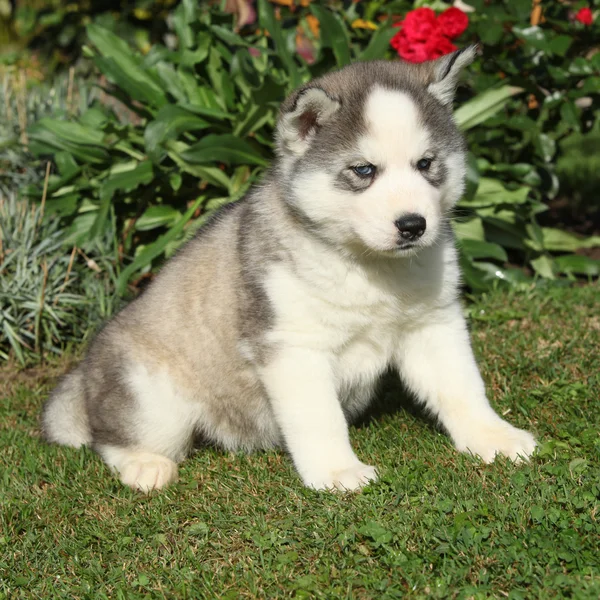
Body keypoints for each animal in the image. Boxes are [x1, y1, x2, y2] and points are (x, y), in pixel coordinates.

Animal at [44, 48, 536, 492]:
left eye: (426, 163)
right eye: (363, 170)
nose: (414, 225)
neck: (368, 266)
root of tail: (82, 375)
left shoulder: (432, 324)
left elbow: (463, 388)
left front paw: (494, 438)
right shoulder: (292, 346)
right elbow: (320, 418)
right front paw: (337, 471)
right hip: (152, 396)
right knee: (110, 439)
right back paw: (145, 466)